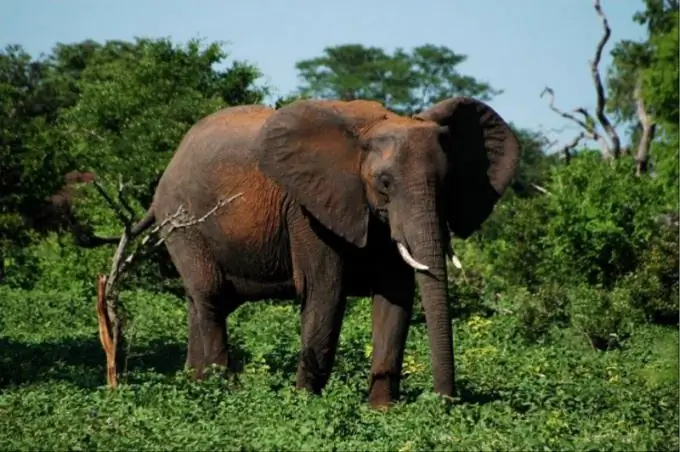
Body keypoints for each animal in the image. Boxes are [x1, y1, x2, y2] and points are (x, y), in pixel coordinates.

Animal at [127, 97, 520, 408]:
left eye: (448, 182)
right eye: (385, 183)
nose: (445, 402)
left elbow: (395, 299)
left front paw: (382, 411)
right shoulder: (309, 211)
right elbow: (326, 293)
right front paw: (305, 403)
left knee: (202, 300)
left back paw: (194, 385)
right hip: (182, 222)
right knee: (210, 296)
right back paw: (226, 393)